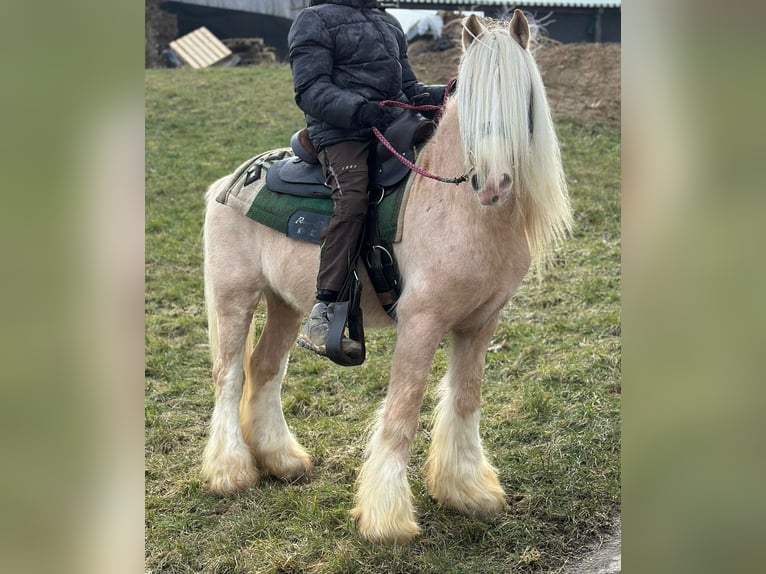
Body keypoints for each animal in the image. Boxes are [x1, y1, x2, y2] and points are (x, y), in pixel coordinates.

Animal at [201, 11, 572, 548]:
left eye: (524, 97)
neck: (458, 209)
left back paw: (281, 459)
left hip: (286, 305)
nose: (492, 183)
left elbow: (465, 398)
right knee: (229, 376)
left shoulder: (480, 323)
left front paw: (466, 491)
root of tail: (225, 183)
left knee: (264, 368)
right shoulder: (421, 323)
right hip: (235, 299)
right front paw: (387, 518)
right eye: (471, 99)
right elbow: (403, 411)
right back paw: (230, 471)